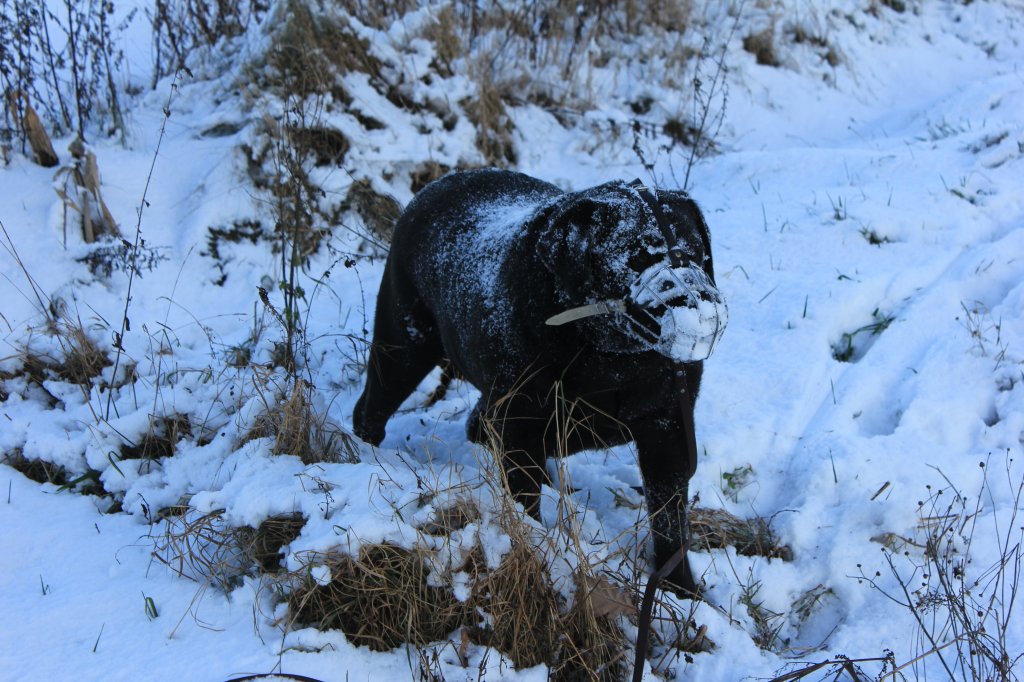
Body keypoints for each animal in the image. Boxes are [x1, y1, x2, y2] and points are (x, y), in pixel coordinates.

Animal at [356, 169, 724, 593]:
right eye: (637, 257)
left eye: (697, 253)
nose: (697, 300)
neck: (608, 359)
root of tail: (432, 187)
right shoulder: (521, 425)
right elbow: (524, 500)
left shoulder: (668, 427)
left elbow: (670, 520)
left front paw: (680, 589)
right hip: (404, 341)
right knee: (374, 403)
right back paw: (364, 455)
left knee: (477, 421)